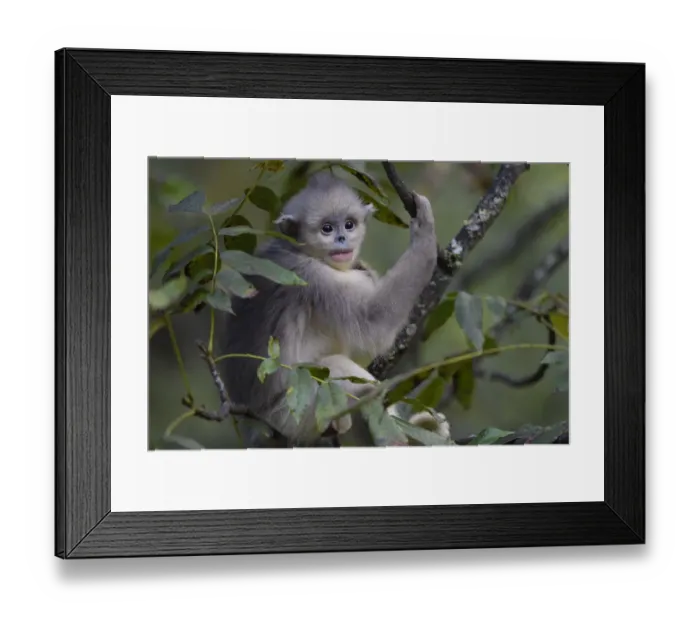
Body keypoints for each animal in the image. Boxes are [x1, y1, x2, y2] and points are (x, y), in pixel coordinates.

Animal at [218, 171, 443, 447]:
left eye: (349, 225)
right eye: (326, 229)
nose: (341, 239)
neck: (298, 250)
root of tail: (254, 424)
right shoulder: (311, 277)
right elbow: (373, 322)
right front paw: (425, 232)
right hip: (292, 414)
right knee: (333, 366)